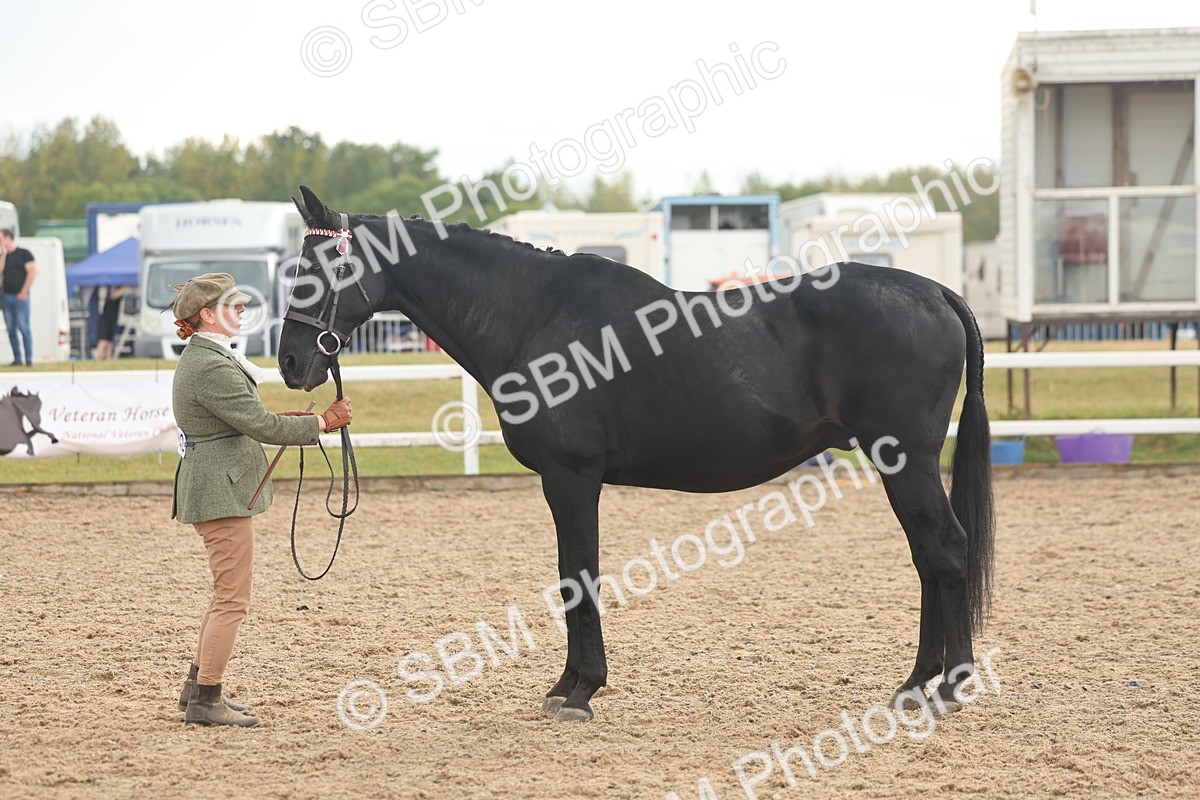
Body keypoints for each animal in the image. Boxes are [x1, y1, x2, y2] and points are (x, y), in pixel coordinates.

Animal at [277, 187, 995, 722]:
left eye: (323, 268)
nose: (290, 363)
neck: (533, 315)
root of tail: (935, 293)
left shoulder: (571, 478)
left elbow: (578, 575)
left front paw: (580, 691)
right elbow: (573, 575)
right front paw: (567, 685)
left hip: (906, 459)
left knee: (945, 552)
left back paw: (944, 686)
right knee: (927, 558)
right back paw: (919, 683)